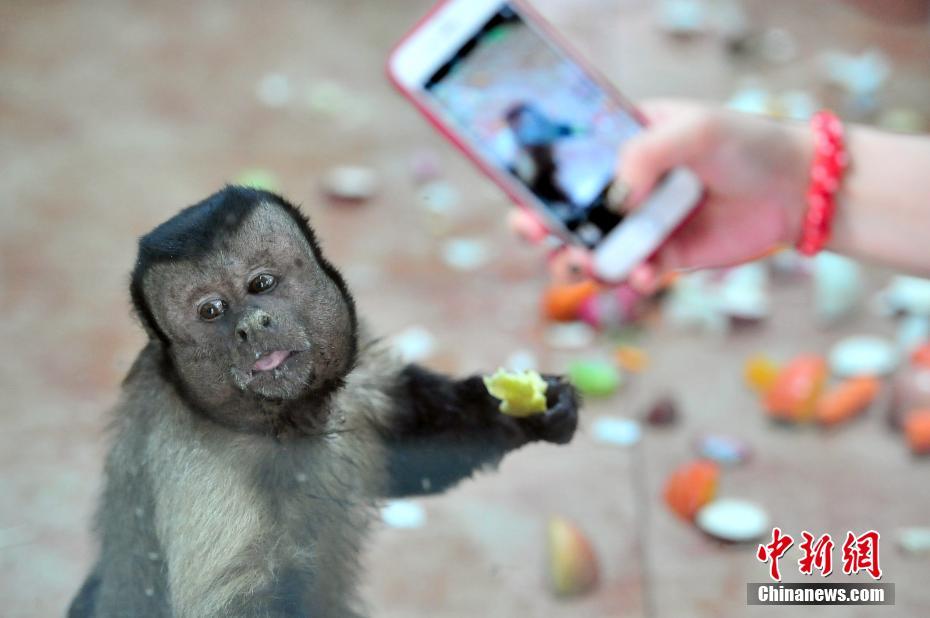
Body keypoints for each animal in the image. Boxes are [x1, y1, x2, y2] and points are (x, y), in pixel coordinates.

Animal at [67, 186, 579, 618]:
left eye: (261, 284)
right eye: (211, 310)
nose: (250, 325)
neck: (284, 424)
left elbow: (408, 452)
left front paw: (527, 412)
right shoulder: (199, 469)